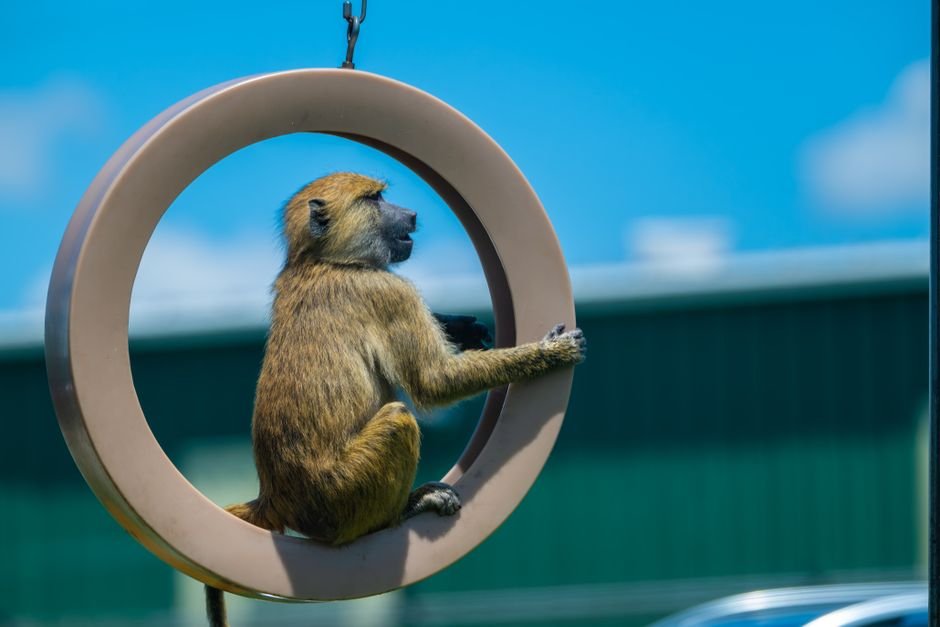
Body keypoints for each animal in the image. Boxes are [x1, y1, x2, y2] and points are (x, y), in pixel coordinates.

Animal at [206, 172, 586, 627]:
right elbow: (432, 382)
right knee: (399, 419)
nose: (412, 214)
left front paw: (461, 326)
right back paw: (404, 512)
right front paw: (551, 352)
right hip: (341, 497)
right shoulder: (388, 292)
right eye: (374, 199)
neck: (322, 260)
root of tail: (276, 499)